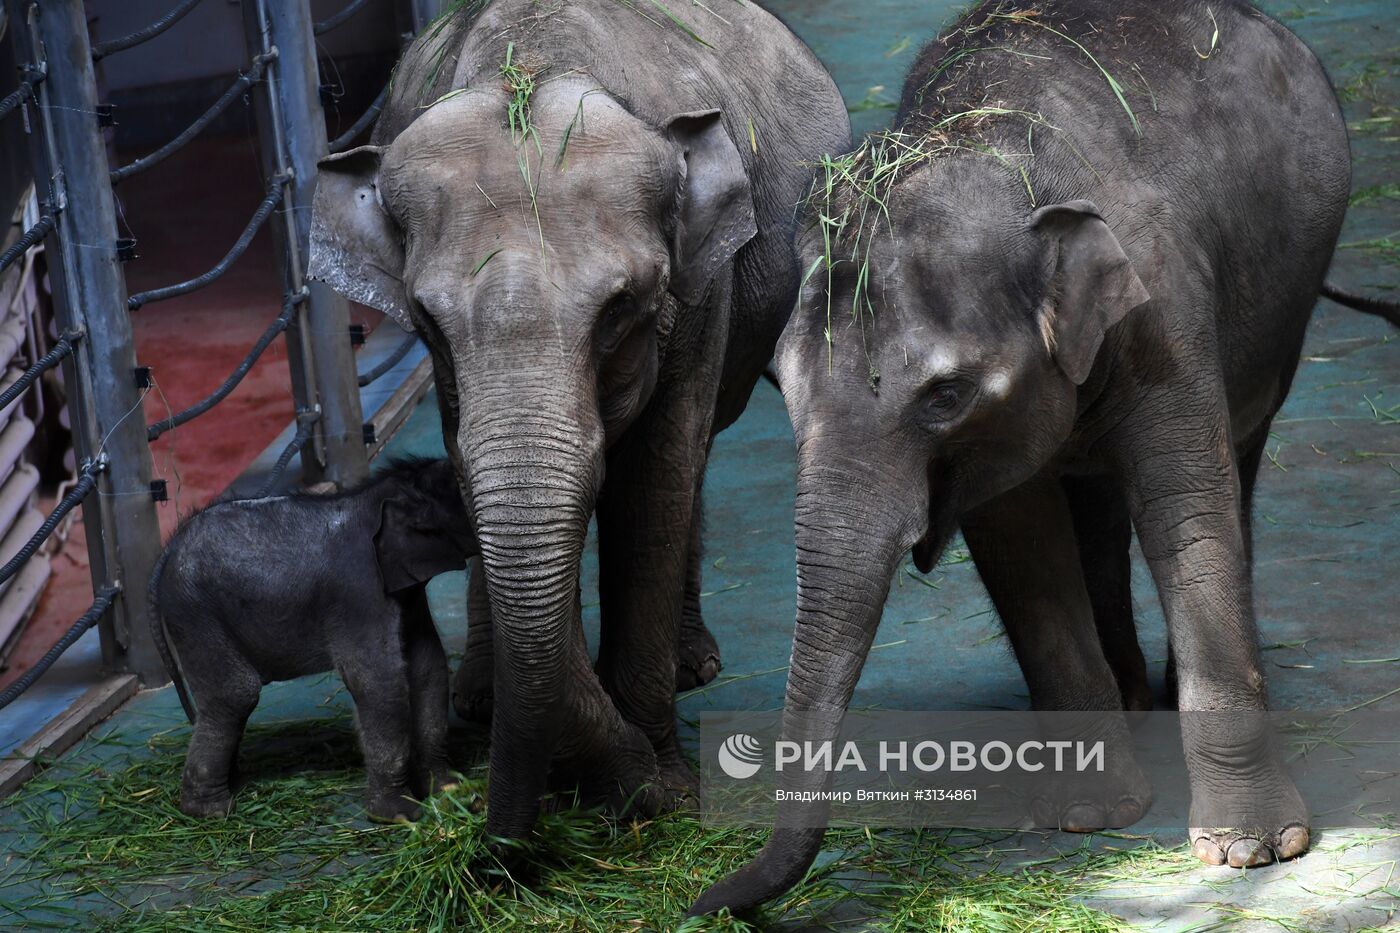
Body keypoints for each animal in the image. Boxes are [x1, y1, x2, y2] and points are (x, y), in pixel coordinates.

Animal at [149, 456, 476, 823]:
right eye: (465, 494)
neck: (375, 495)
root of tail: (167, 550)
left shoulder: (405, 592)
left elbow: (427, 666)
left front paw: (451, 791)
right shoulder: (357, 591)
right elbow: (379, 681)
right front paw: (399, 815)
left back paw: (231, 785)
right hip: (195, 614)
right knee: (235, 695)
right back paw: (212, 811)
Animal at [310, 0, 845, 840]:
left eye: (622, 306)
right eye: (425, 317)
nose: (495, 834)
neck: (532, 62)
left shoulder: (701, 290)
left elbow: (653, 478)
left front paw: (664, 791)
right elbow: (479, 466)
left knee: (695, 457)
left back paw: (694, 667)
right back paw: (482, 698)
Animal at [694, 0, 1400, 913]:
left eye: (945, 394)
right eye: (777, 381)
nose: (702, 902)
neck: (995, 146)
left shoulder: (1163, 309)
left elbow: (1185, 517)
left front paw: (1251, 850)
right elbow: (1022, 541)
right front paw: (1089, 815)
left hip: (1281, 318)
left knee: (1236, 463)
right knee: (1094, 500)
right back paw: (1130, 700)